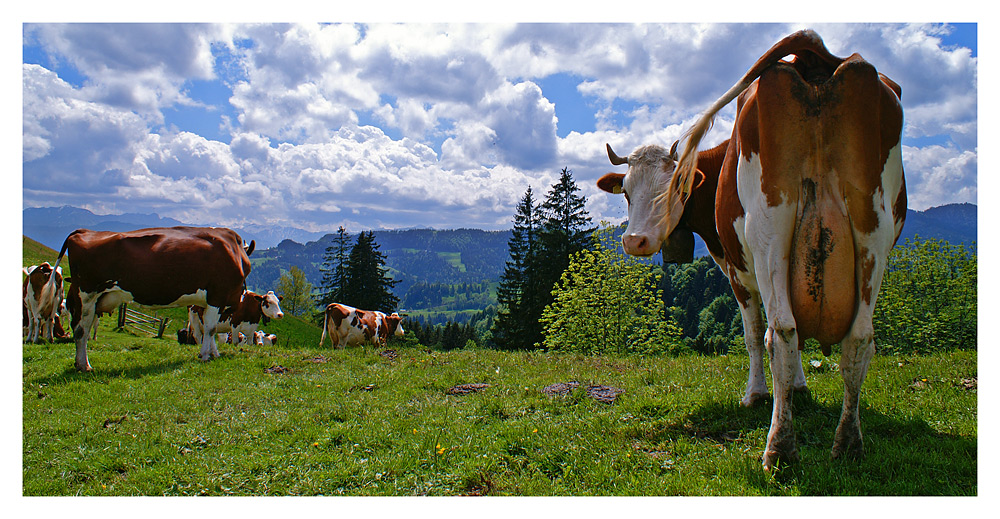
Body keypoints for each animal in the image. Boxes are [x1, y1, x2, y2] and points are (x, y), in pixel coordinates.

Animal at [53, 226, 258, 370]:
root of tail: (84, 231)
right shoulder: (217, 296)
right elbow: (210, 329)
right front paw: (205, 356)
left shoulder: (213, 302)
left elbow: (212, 330)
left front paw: (214, 353)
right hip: (86, 294)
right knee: (81, 329)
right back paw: (84, 365)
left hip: (94, 299)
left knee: (84, 329)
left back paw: (80, 363)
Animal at [600, 32, 908, 472]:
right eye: (625, 191)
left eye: (676, 188)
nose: (634, 241)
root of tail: (816, 57)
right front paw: (798, 388)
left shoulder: (737, 269)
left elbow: (753, 335)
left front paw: (757, 395)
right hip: (874, 230)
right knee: (858, 338)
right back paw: (848, 444)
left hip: (770, 230)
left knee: (780, 331)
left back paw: (779, 447)